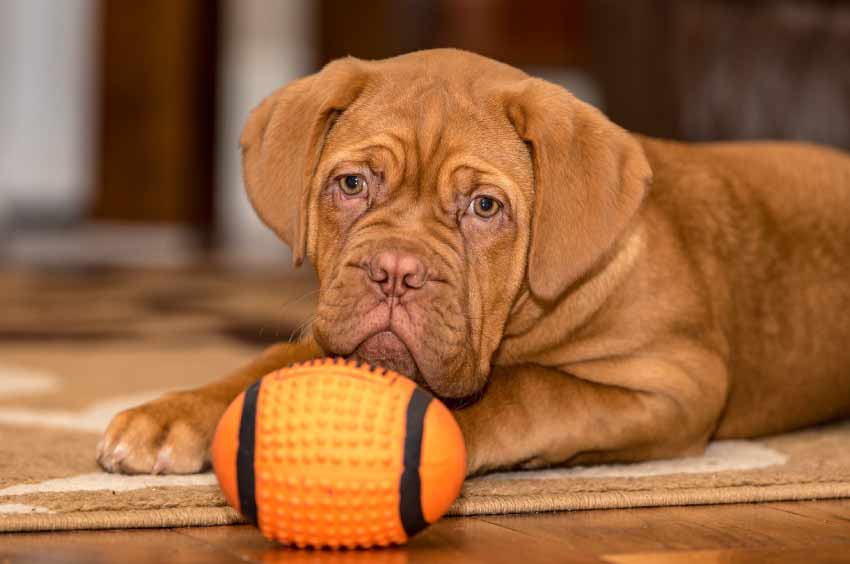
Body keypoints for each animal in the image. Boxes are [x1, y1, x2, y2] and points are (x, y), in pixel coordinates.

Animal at [97, 48, 848, 476]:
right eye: (351, 184)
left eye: (485, 207)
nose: (394, 271)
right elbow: (268, 362)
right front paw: (177, 413)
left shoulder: (674, 382)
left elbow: (530, 389)